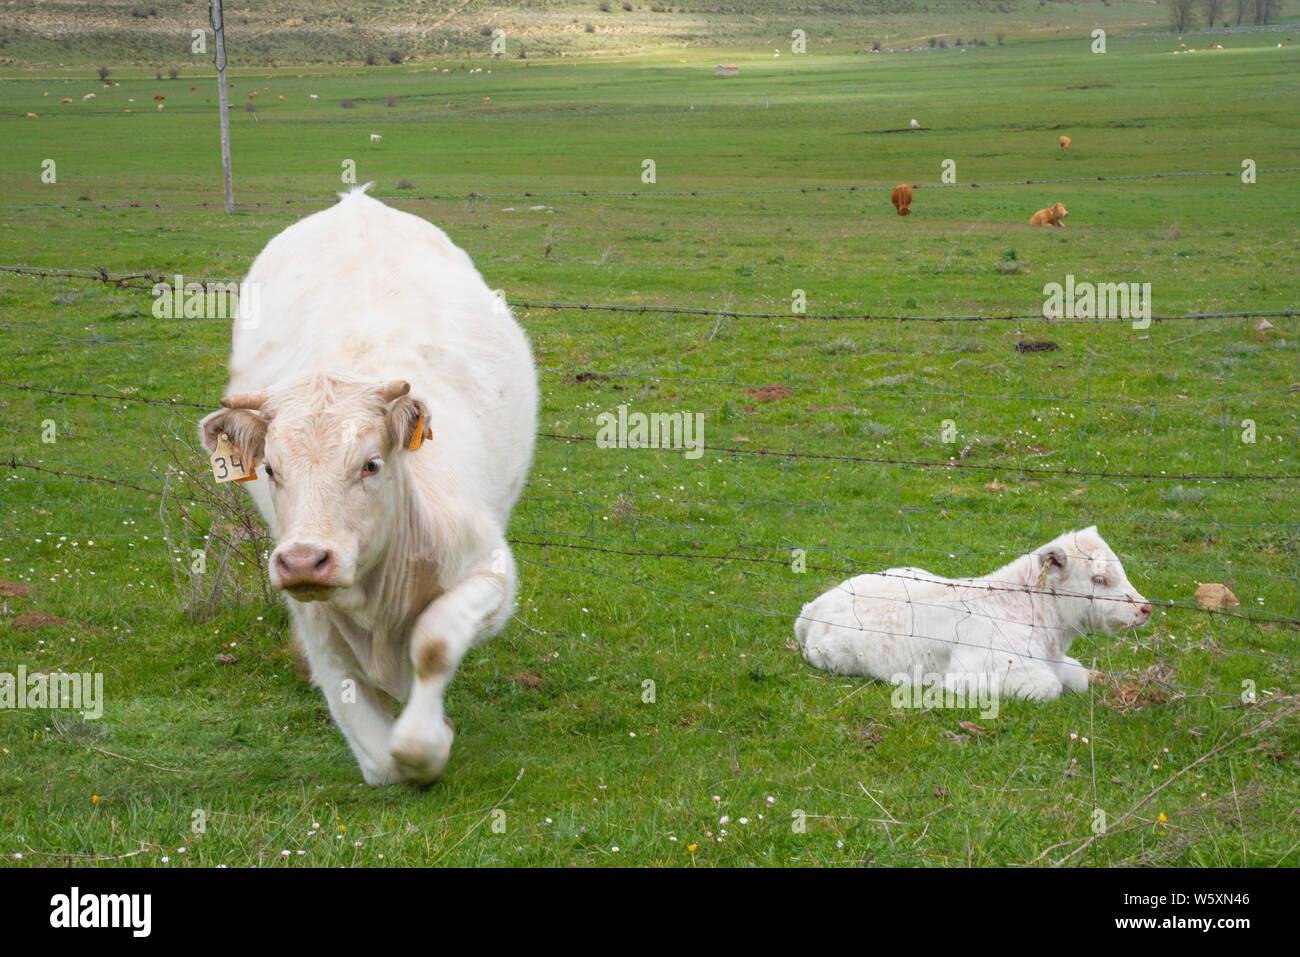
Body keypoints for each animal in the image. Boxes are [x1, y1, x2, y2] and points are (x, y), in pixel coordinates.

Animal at [199, 186, 537, 785]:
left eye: (372, 465)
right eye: (271, 469)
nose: (304, 560)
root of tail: (356, 201)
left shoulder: (491, 573)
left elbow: (433, 644)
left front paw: (429, 742)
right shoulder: (315, 622)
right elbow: (376, 754)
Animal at [793, 526, 1152, 702]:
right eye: (1098, 579)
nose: (1146, 608)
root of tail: (812, 608)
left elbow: (1078, 678)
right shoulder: (981, 671)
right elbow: (1048, 688)